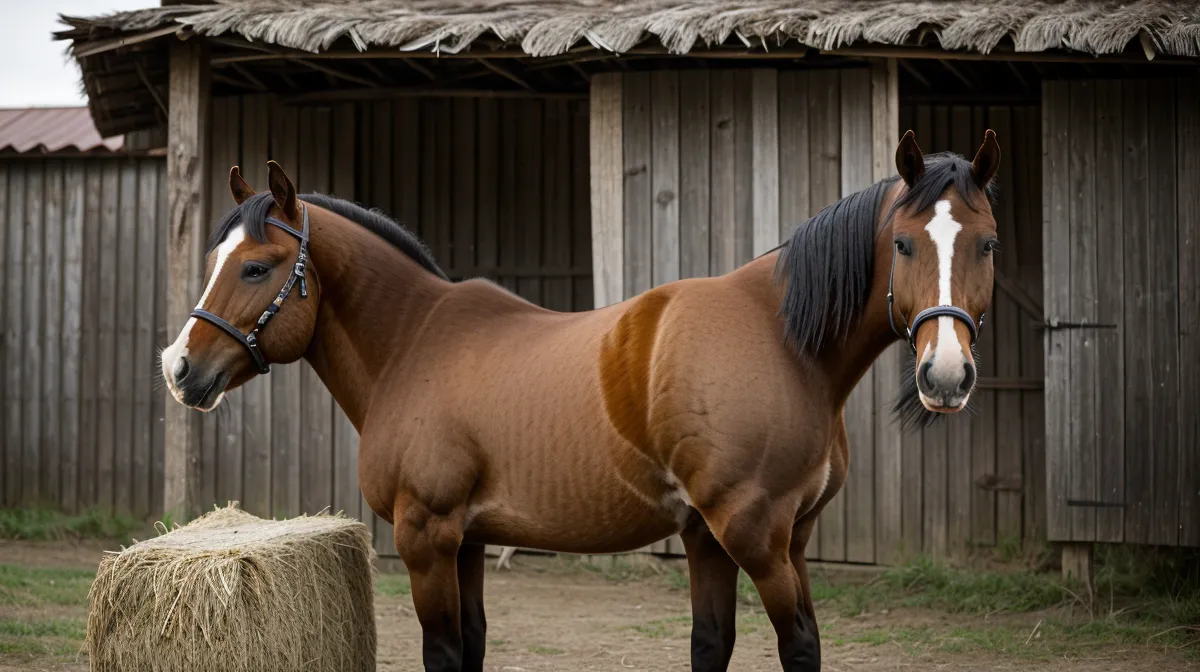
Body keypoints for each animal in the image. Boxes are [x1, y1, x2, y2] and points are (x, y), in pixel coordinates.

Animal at [159, 129, 1000, 672]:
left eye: (260, 268)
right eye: (904, 243)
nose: (180, 367)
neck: (413, 343)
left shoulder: (426, 535)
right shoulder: (467, 539)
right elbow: (474, 650)